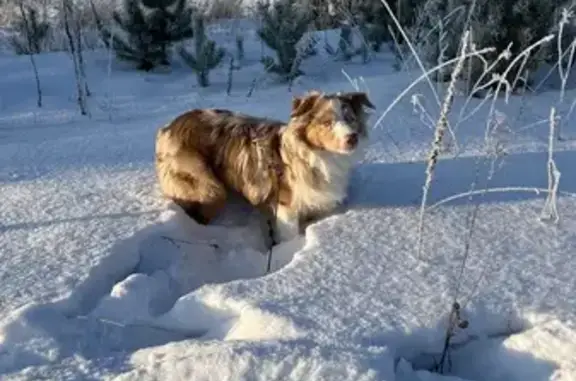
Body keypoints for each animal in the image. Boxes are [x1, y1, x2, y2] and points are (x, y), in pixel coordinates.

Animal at [155, 90, 376, 242]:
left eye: (351, 119)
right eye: (327, 123)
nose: (352, 138)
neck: (319, 157)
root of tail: (168, 126)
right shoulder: (286, 206)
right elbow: (289, 235)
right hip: (209, 187)